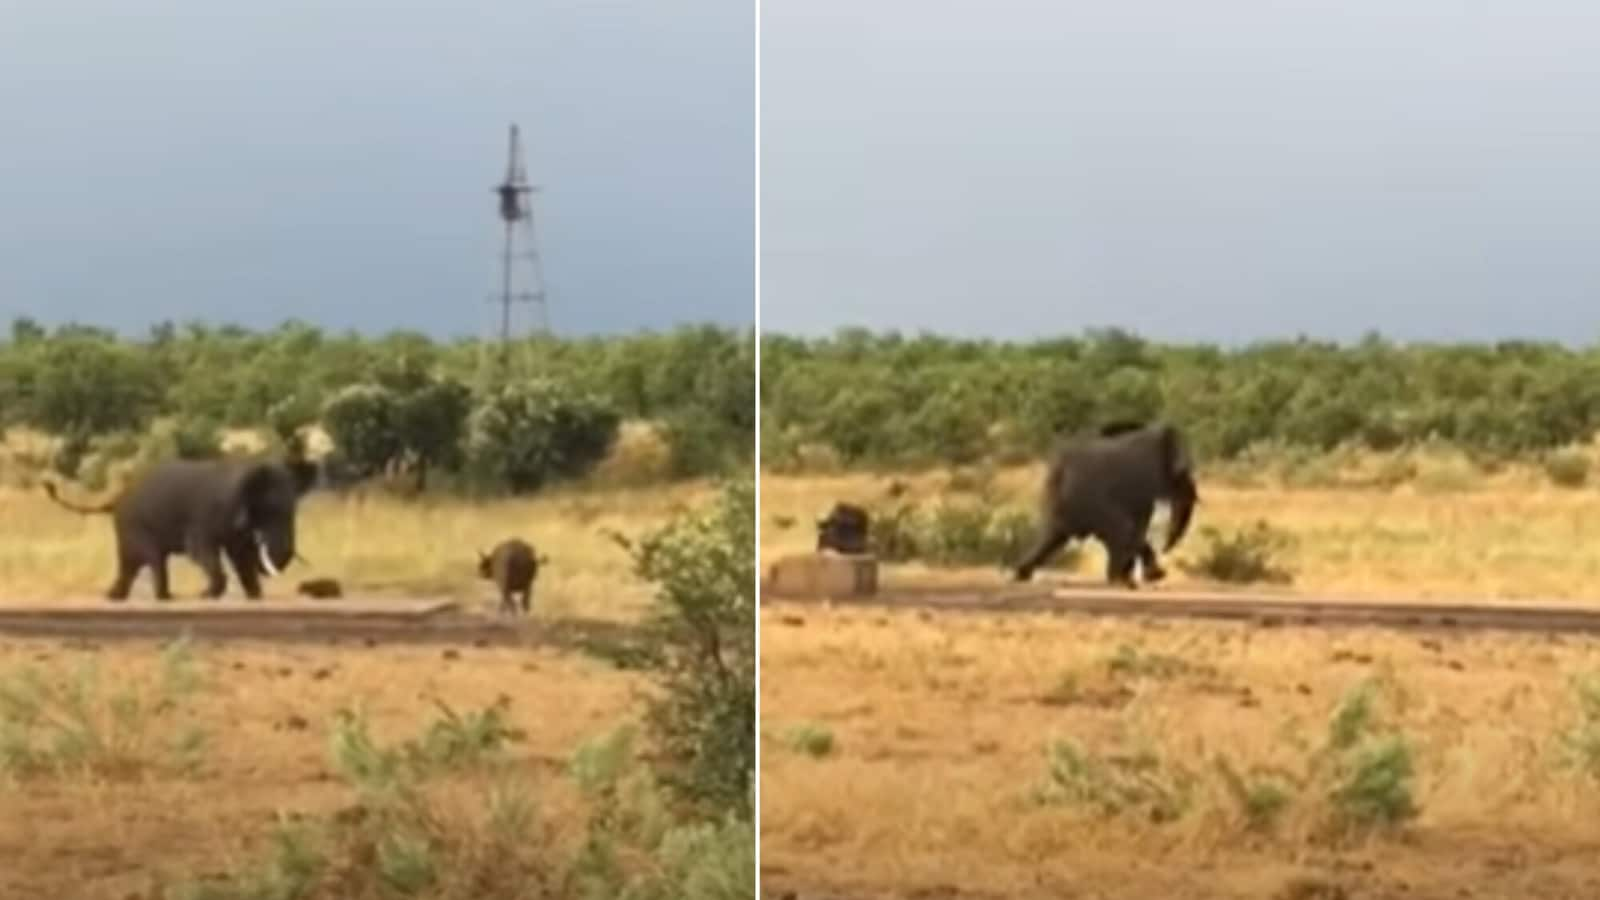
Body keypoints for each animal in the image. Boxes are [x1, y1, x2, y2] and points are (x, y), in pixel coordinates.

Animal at [46, 458, 318, 598]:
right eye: (271, 510)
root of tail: (116, 497)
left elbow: (240, 555)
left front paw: (254, 596)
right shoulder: (207, 514)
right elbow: (200, 549)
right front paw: (207, 595)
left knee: (132, 564)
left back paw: (116, 598)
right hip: (135, 525)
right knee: (152, 559)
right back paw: (164, 598)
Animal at [1011, 422, 1203, 586]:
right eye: (1184, 472)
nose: (1165, 548)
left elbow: (1138, 525)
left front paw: (1150, 575)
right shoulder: (1145, 477)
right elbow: (1136, 527)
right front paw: (1153, 575)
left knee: (1053, 536)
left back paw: (1021, 575)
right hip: (1086, 501)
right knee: (1121, 530)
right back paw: (1121, 581)